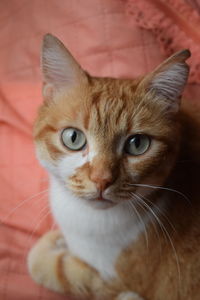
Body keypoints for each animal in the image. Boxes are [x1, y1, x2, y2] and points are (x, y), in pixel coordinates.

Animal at [27, 34, 200, 298]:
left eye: (137, 144)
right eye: (73, 138)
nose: (101, 179)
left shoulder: (113, 282)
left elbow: (51, 266)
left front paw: (52, 245)